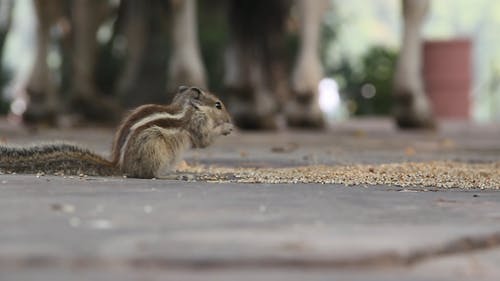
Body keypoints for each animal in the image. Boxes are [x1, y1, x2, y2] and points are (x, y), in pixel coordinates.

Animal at [0, 85, 234, 177]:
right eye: (218, 105)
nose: (230, 119)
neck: (186, 108)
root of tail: (120, 166)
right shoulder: (197, 124)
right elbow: (203, 141)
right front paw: (226, 127)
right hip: (154, 146)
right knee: (147, 174)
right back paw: (169, 176)